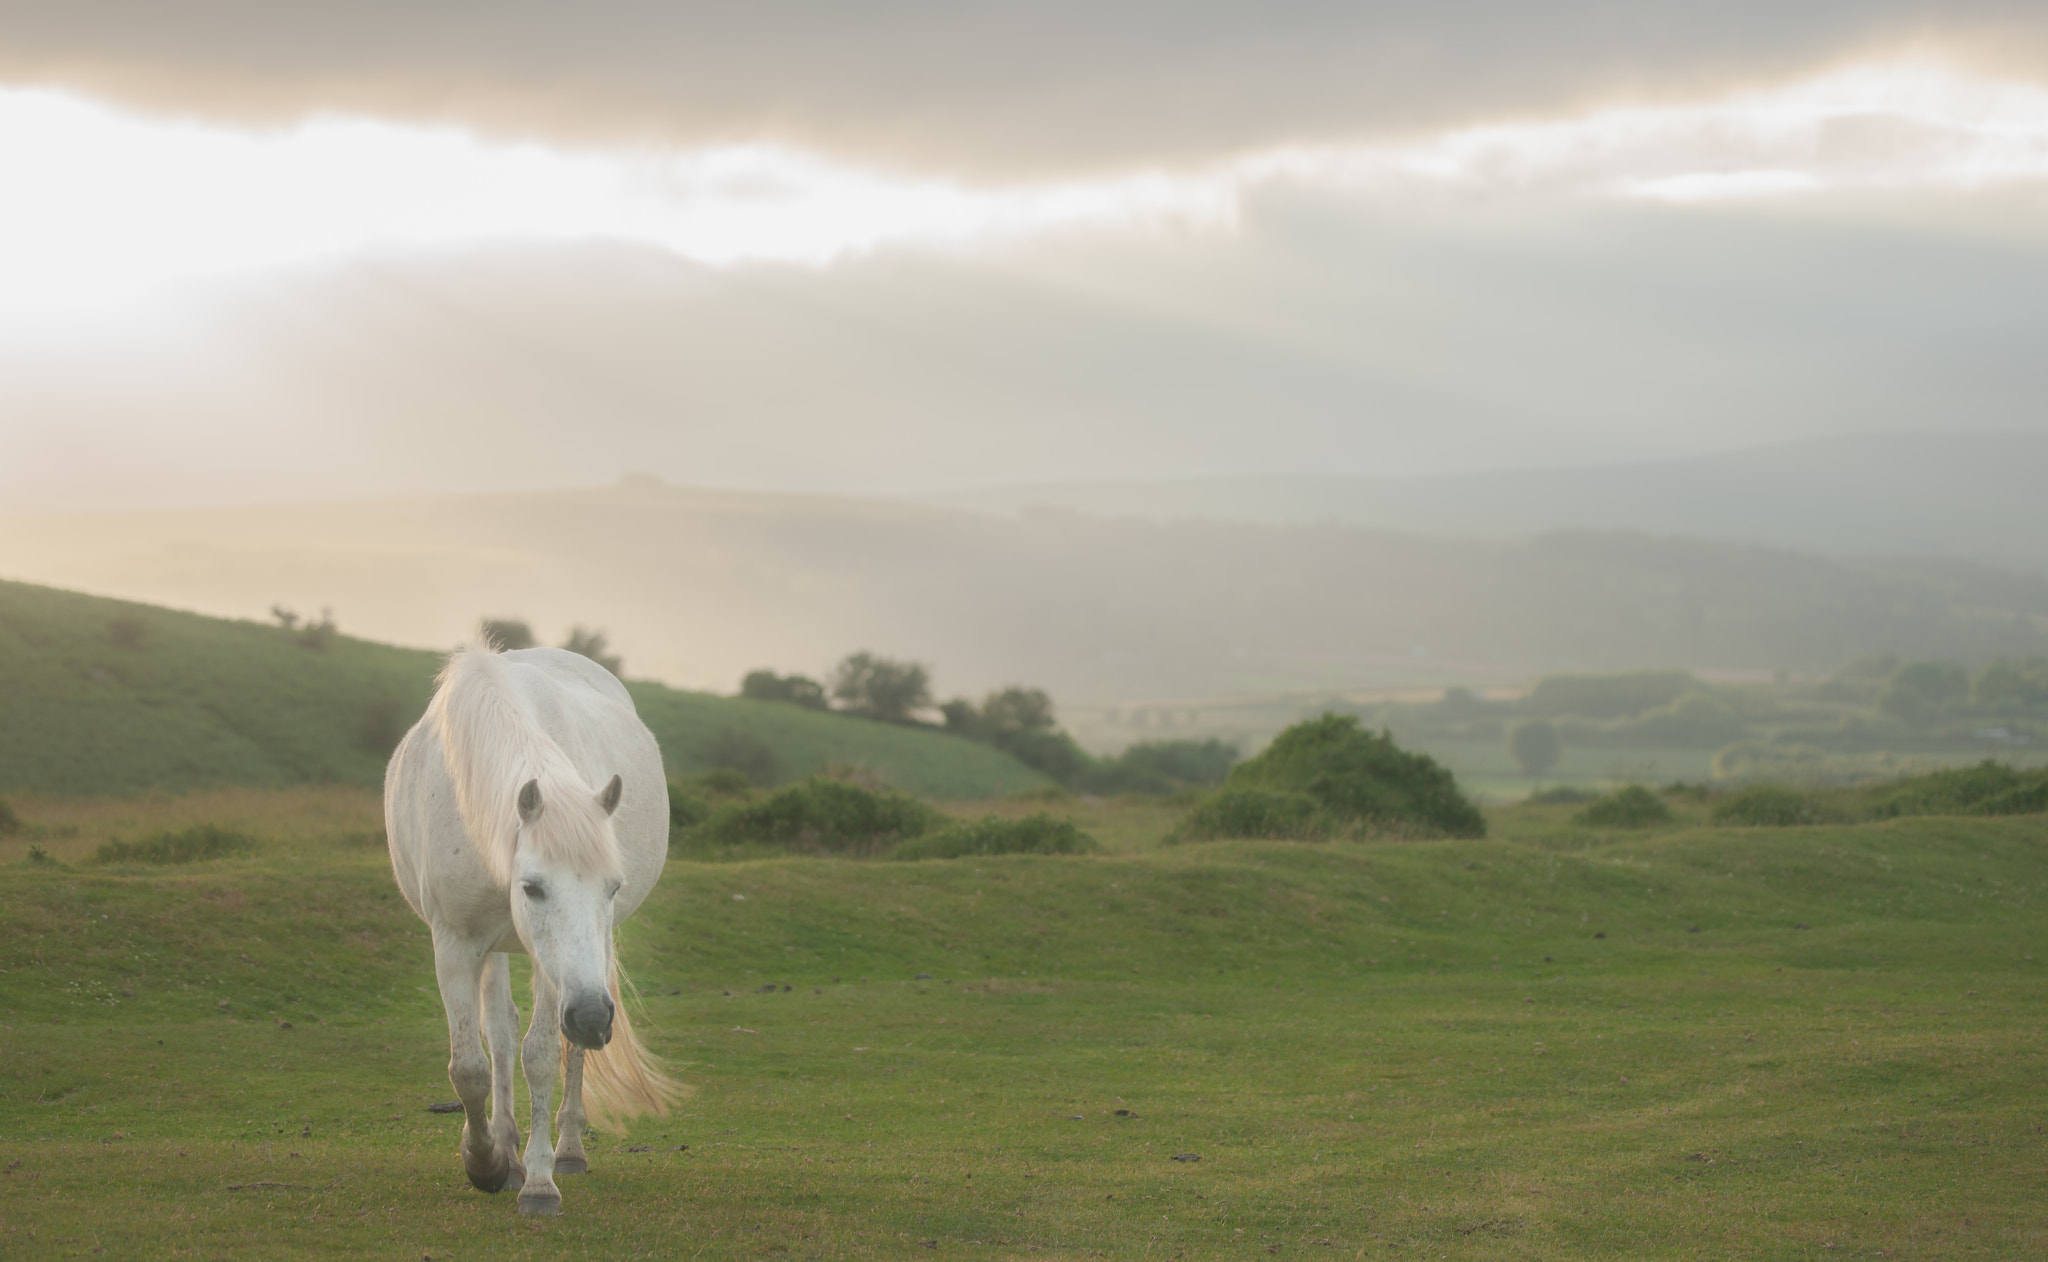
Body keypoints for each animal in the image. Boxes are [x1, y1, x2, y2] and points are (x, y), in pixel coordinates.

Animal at [391, 639, 688, 1212]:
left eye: (613, 887)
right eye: (531, 887)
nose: (593, 1016)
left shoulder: (560, 971)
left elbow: (544, 1054)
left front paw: (539, 1180)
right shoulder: (454, 944)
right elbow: (471, 1066)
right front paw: (484, 1161)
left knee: (563, 1050)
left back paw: (567, 1149)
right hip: (499, 948)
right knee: (500, 1031)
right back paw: (505, 1145)